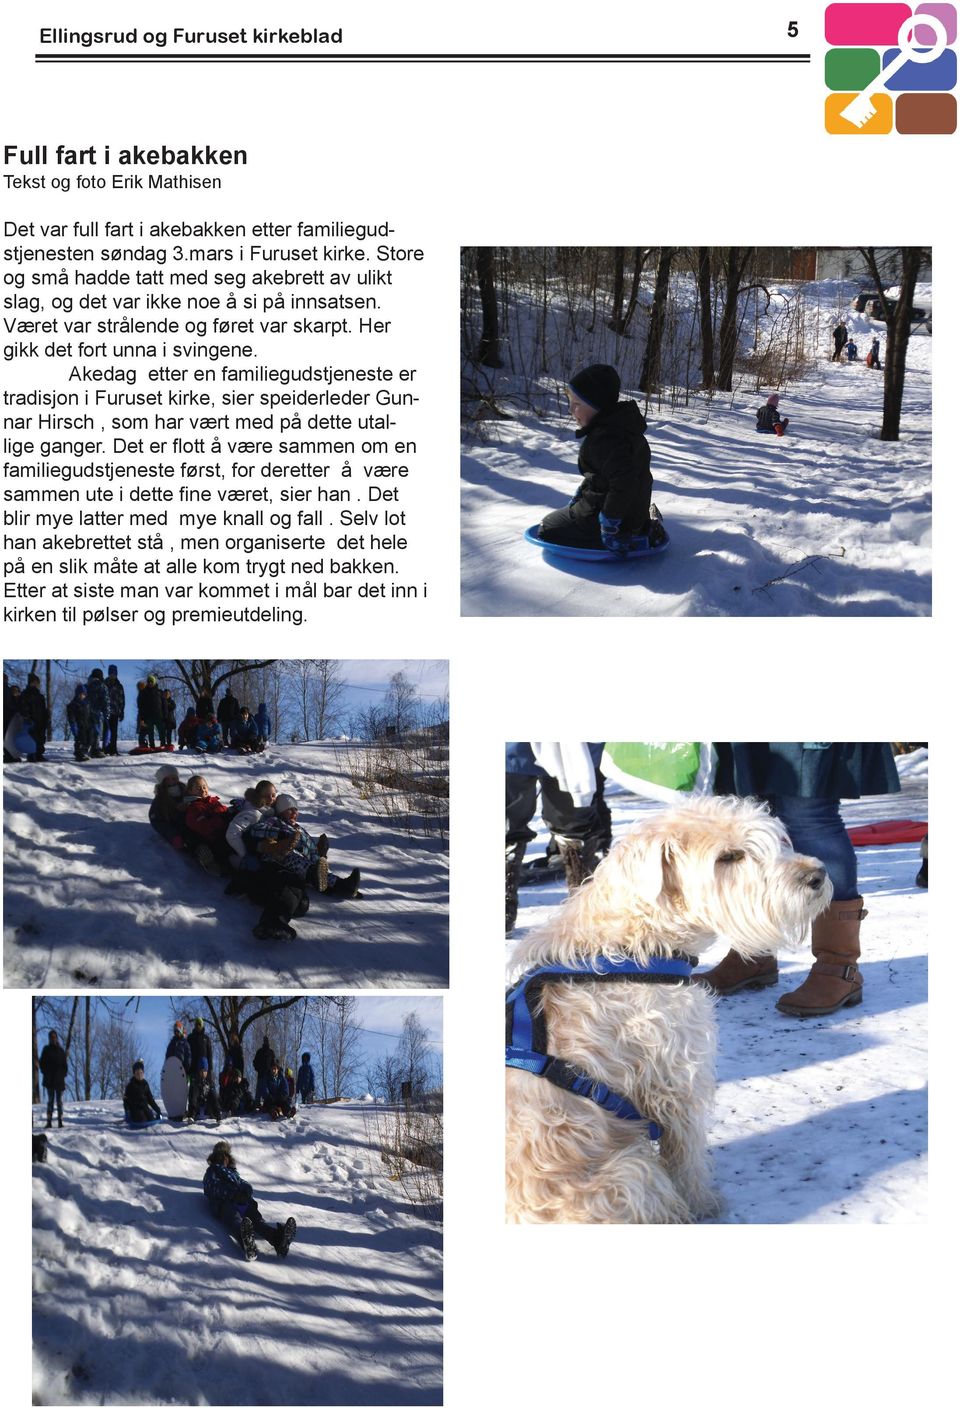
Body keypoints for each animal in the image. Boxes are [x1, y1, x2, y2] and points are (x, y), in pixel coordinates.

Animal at [503, 799, 827, 1227]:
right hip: (632, 1173)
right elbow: (687, 1158)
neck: (632, 944)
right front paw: (705, 1204)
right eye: (728, 857)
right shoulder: (676, 1079)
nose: (818, 875)